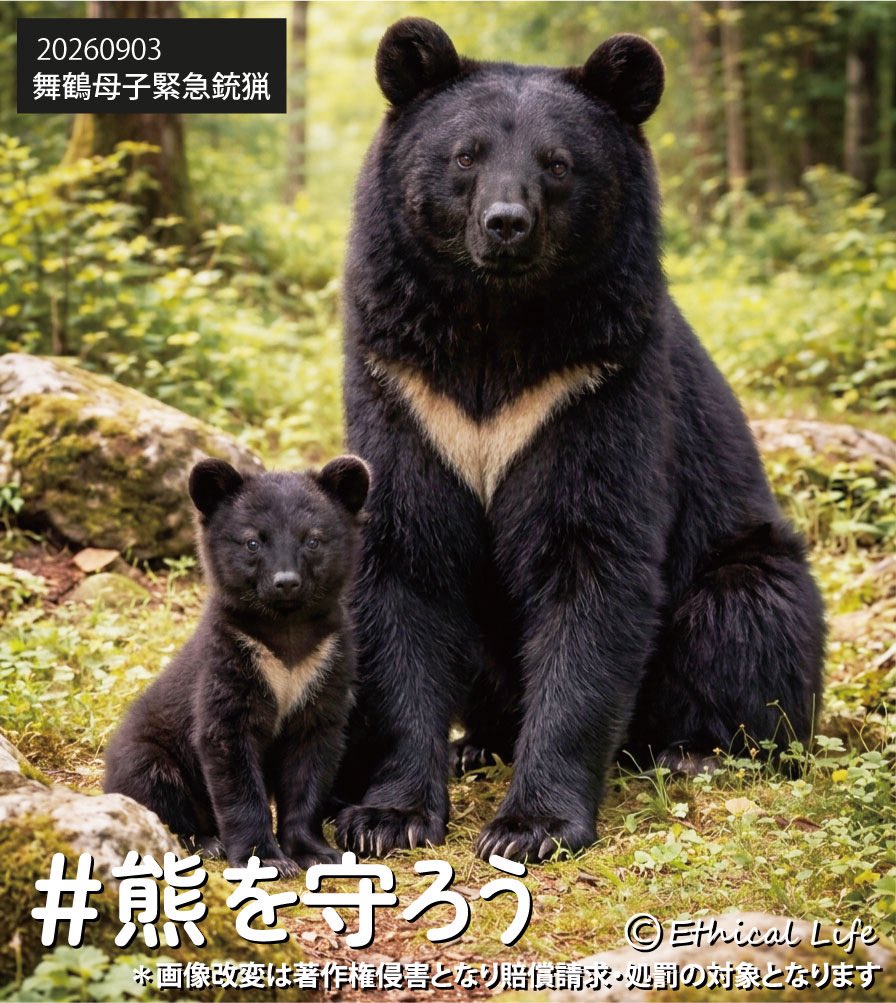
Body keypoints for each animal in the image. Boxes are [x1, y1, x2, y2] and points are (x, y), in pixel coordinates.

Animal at [104, 455, 370, 876]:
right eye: (252, 541)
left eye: (312, 539)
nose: (286, 582)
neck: (284, 634)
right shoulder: (230, 662)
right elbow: (230, 757)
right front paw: (267, 859)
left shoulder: (326, 666)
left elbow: (311, 760)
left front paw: (316, 852)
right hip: (146, 755)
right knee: (152, 789)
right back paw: (205, 840)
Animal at [333, 18, 825, 863]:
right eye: (465, 155)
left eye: (558, 164)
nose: (506, 223)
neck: (494, 319)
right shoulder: (405, 386)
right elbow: (404, 561)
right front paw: (385, 813)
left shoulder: (595, 382)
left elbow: (591, 566)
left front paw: (531, 826)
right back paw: (475, 742)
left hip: (747, 564)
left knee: (748, 617)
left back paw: (694, 750)